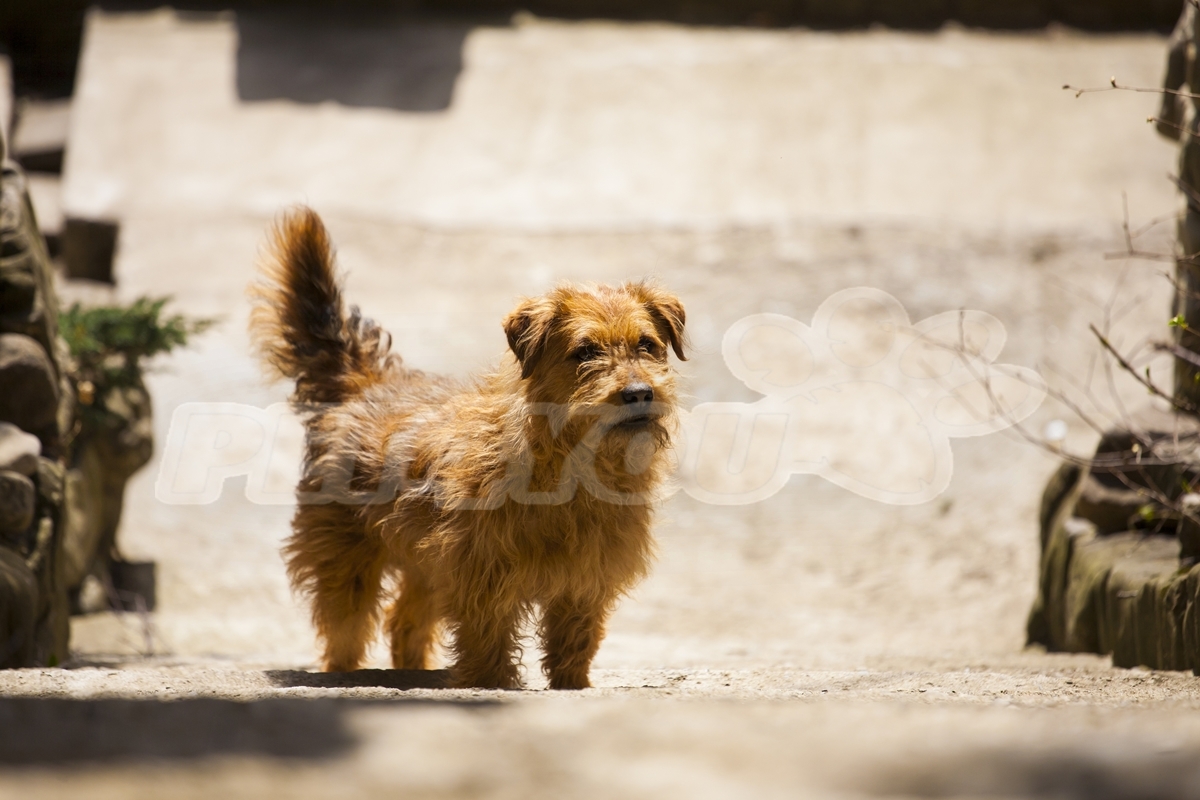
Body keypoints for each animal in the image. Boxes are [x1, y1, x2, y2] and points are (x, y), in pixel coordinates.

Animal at [249, 206, 691, 690]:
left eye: (647, 344)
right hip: (347, 562)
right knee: (346, 628)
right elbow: (488, 638)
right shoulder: (481, 571)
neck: (568, 462)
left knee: (403, 621)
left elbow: (576, 638)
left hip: (421, 562)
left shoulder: (585, 577)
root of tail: (366, 382)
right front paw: (490, 682)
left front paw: (571, 683)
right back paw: (343, 673)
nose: (638, 393)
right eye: (585, 351)